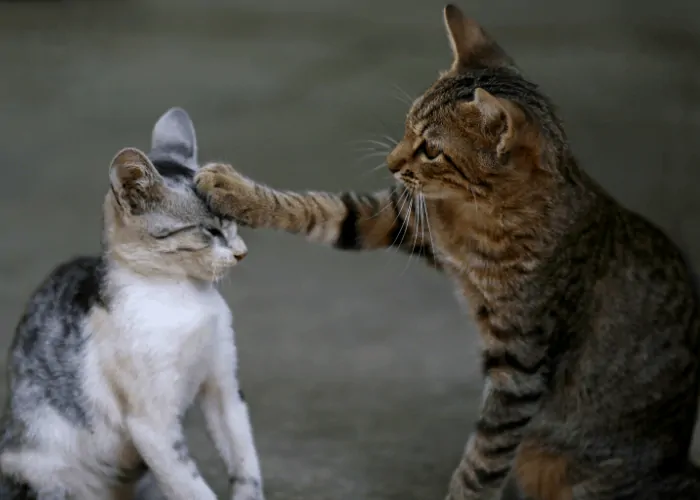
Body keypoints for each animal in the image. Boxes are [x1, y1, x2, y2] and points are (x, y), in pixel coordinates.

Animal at [0, 107, 262, 498]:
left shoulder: (225, 388)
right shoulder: (151, 424)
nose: (242, 252)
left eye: (233, 223)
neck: (187, 299)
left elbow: (245, 461)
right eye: (211, 230)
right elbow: (191, 486)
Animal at [193, 3, 700, 500]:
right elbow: (318, 208)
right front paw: (236, 191)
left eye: (432, 150)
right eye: (406, 125)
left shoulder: (520, 365)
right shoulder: (402, 218)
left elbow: (484, 461)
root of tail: (677, 461)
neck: (477, 218)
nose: (391, 163)